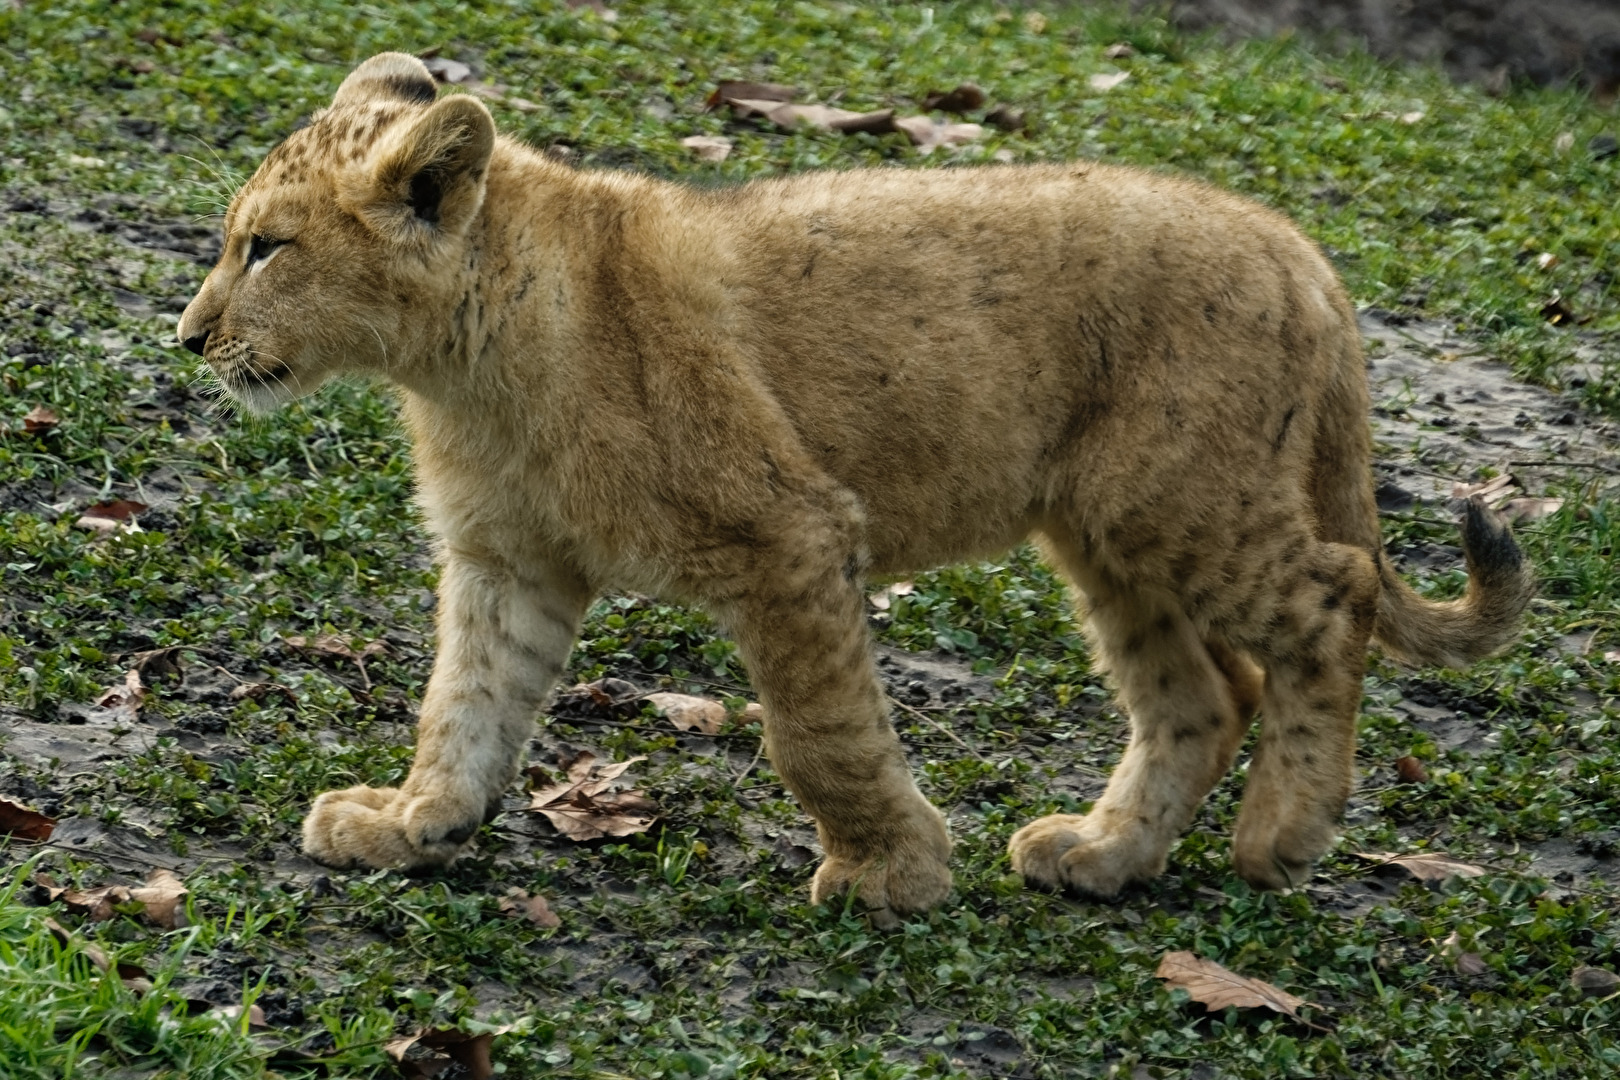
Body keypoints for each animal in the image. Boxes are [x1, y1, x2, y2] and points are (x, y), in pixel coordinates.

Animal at [177, 53, 1532, 917]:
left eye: (268, 247)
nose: (189, 338)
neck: (464, 359)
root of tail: (1301, 250)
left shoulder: (790, 533)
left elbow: (818, 734)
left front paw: (894, 874)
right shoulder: (510, 563)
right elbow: (462, 707)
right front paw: (414, 823)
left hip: (1183, 498)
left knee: (1337, 598)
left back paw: (1284, 834)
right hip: (1110, 532)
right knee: (1205, 695)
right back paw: (1102, 855)